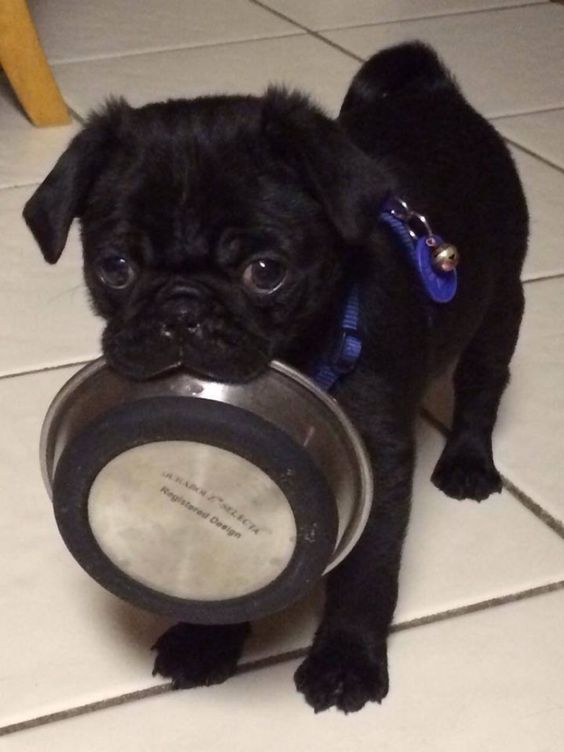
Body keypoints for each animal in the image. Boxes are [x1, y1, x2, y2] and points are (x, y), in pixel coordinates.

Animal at [23, 44, 524, 712]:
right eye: (116, 267)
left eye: (266, 272)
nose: (182, 309)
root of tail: (436, 93)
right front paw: (205, 640)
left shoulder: (382, 464)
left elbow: (367, 571)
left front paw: (346, 660)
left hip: (501, 305)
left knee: (483, 386)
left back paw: (468, 462)